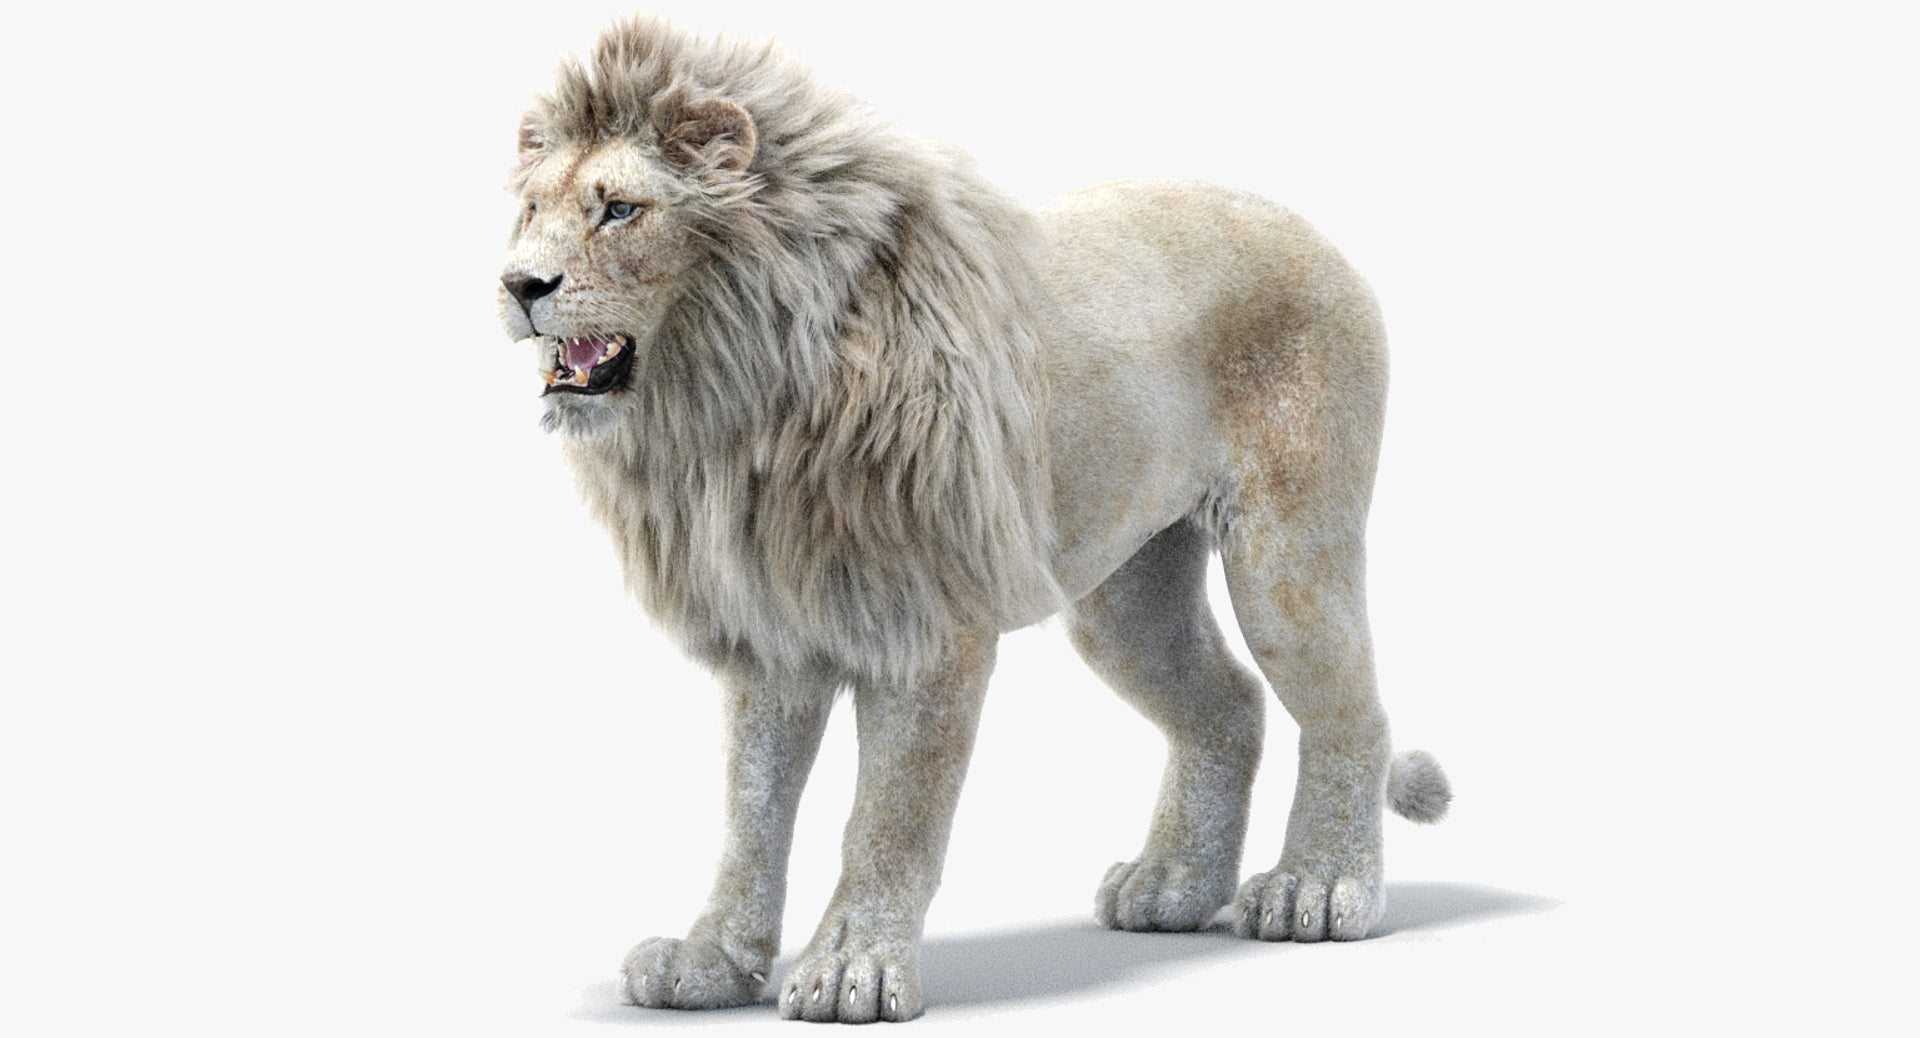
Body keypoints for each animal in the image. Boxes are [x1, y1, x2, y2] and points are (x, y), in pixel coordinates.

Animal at [499, 16, 1451, 1023]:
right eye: (530, 208)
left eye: (619, 210)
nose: (518, 285)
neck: (738, 399)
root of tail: (1317, 233)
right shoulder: (774, 628)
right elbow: (749, 813)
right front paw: (712, 961)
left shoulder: (928, 626)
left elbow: (890, 815)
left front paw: (854, 969)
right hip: (1124, 598)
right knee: (1229, 703)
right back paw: (1173, 885)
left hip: (1286, 557)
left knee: (1350, 710)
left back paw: (1321, 888)